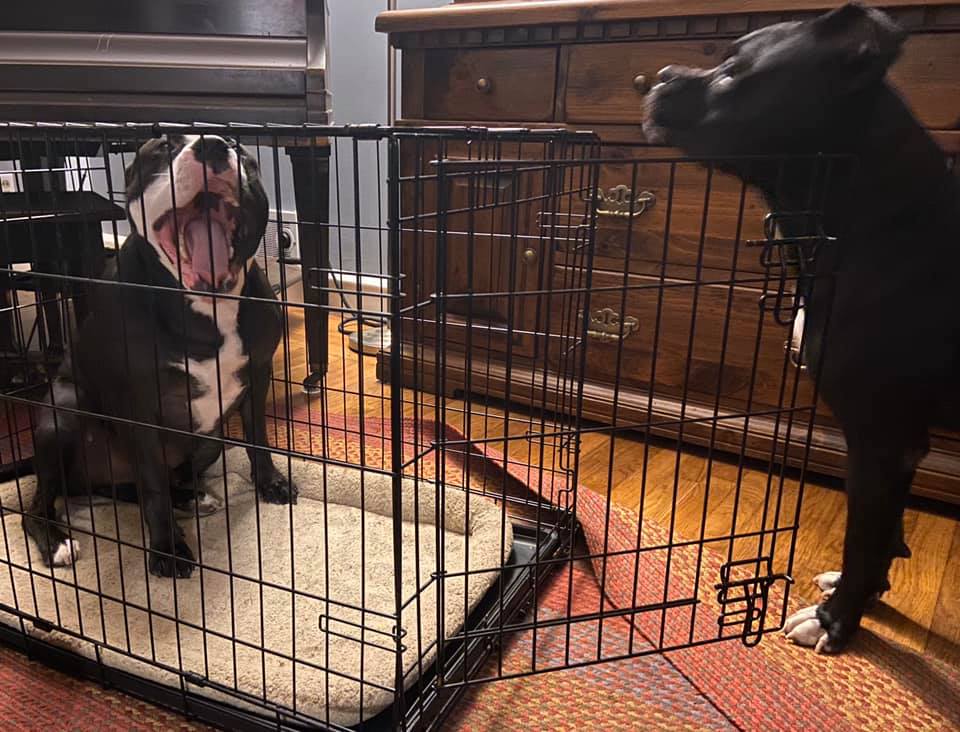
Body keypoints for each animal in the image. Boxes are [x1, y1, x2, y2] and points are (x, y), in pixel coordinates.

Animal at [23, 134, 298, 578]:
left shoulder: (258, 377)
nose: (213, 145)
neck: (208, 308)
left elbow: (258, 438)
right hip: (62, 415)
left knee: (143, 486)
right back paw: (57, 541)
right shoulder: (138, 409)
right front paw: (168, 549)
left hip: (210, 440)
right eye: (162, 149)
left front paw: (270, 482)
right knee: (39, 505)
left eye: (240, 149)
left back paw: (190, 497)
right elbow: (152, 485)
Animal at [643, 2, 960, 652]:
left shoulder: (884, 438)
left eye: (734, 74)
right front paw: (864, 592)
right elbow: (880, 529)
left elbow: (865, 533)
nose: (659, 75)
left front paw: (838, 619)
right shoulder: (890, 440)